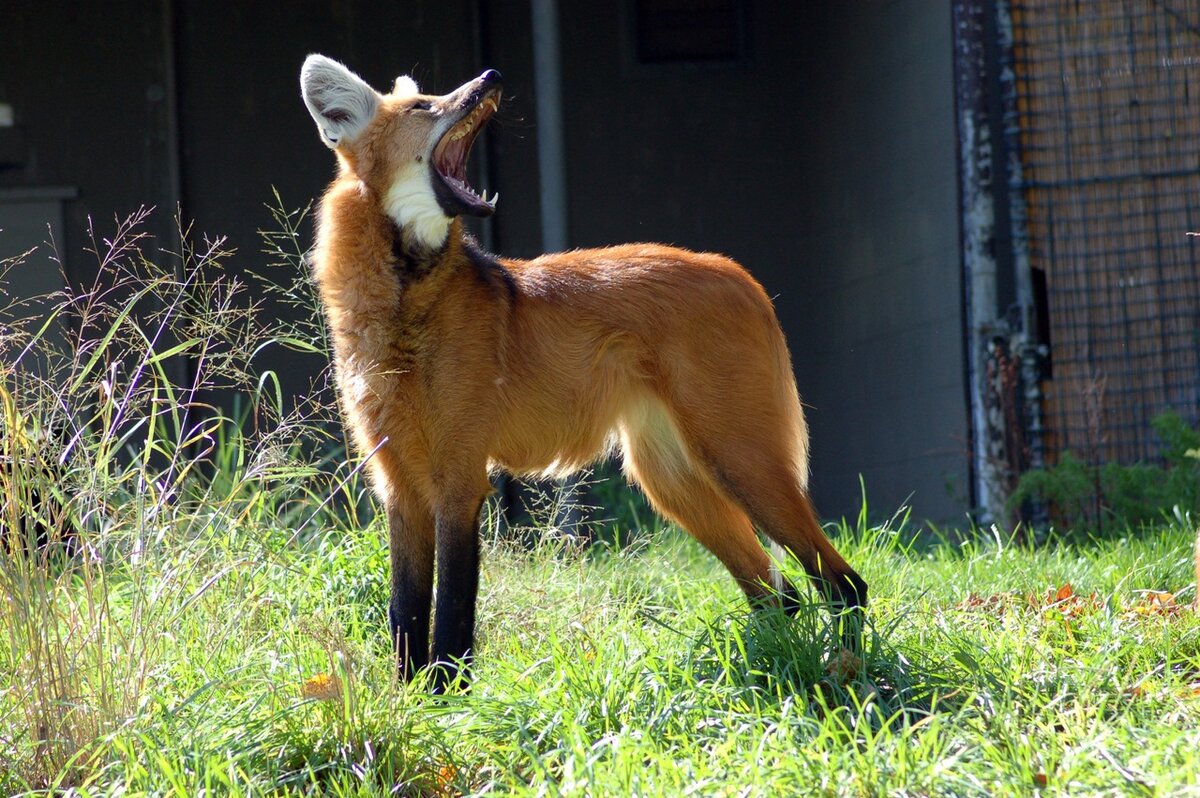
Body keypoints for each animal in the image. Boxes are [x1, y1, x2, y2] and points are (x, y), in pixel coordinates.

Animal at [298, 56, 864, 686]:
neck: (405, 302)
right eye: (424, 106)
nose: (492, 74)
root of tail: (740, 274)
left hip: (736, 459)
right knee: (778, 595)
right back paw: (771, 670)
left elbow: (450, 618)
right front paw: (411, 699)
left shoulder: (459, 478)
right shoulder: (398, 483)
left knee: (843, 584)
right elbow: (405, 612)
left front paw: (450, 700)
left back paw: (843, 674)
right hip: (672, 479)